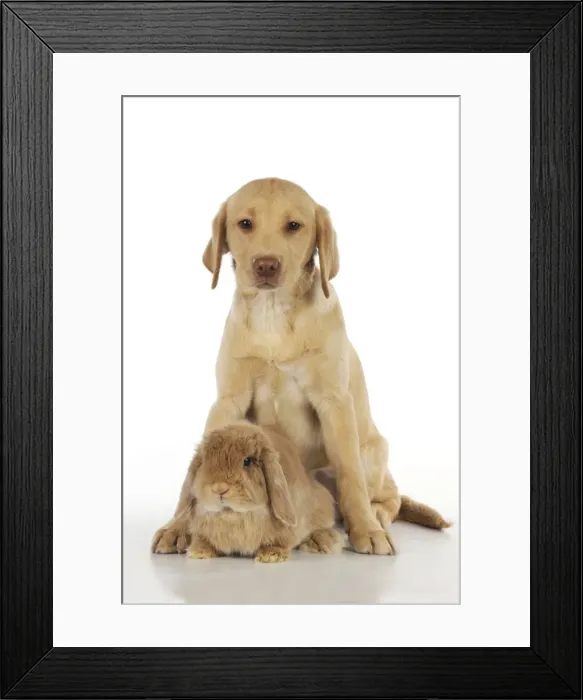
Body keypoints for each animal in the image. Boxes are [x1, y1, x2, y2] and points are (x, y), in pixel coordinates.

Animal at [185, 421, 344, 563]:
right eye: (205, 461)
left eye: (247, 461)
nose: (219, 488)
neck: (233, 514)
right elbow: (204, 540)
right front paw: (198, 552)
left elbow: (280, 542)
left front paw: (270, 556)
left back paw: (322, 542)